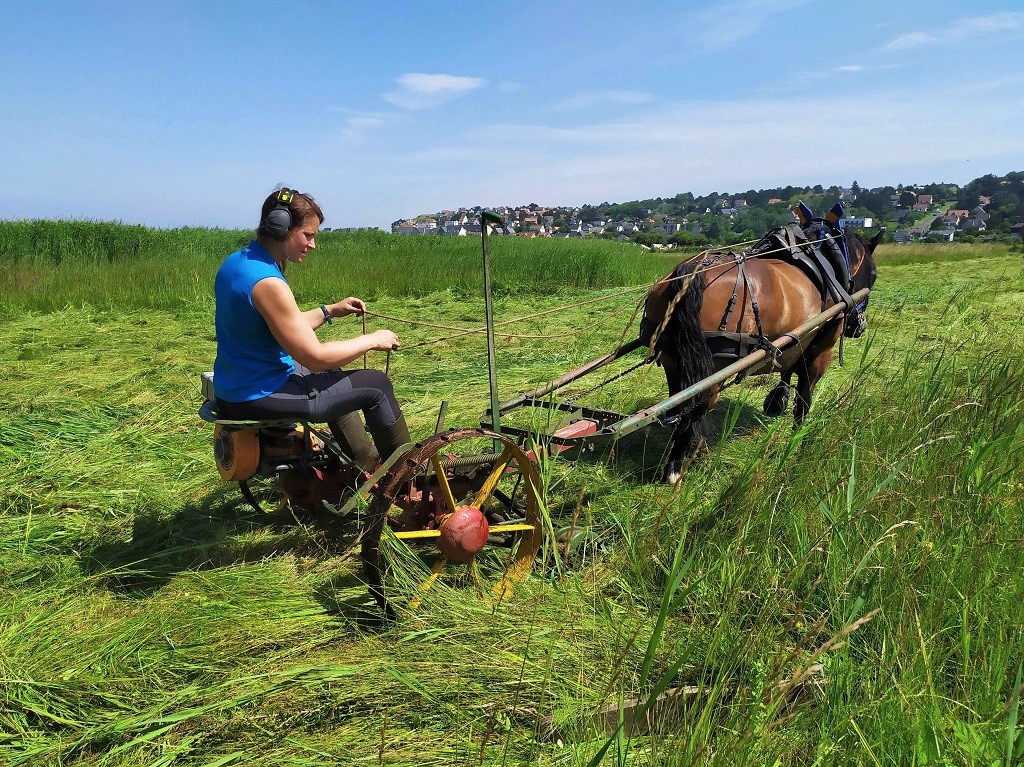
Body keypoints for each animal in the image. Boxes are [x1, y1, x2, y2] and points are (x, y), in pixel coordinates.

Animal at [638, 221, 880, 481]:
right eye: (874, 275)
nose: (859, 327)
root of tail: (693, 271)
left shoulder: (794, 341)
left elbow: (787, 371)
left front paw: (777, 400)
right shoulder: (820, 352)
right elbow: (803, 403)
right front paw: (797, 441)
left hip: (674, 362)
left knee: (677, 407)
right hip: (709, 372)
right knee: (691, 411)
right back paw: (675, 470)